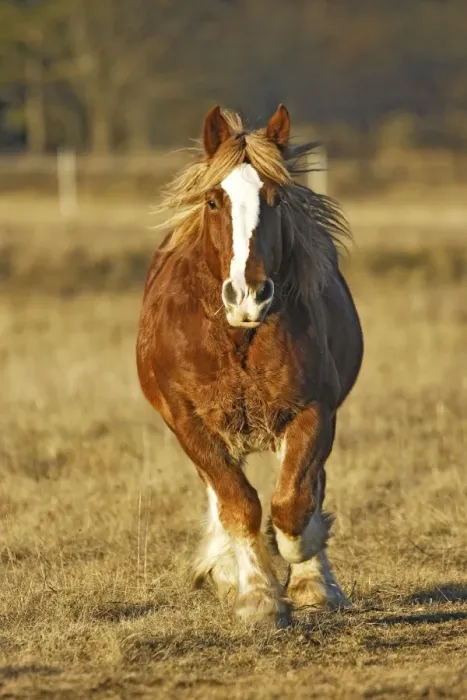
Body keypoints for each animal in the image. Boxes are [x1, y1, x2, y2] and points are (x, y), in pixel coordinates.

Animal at [136, 104, 363, 628]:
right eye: (213, 202)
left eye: (276, 199)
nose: (248, 295)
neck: (237, 336)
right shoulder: (190, 421)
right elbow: (237, 503)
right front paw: (256, 596)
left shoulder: (314, 412)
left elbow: (295, 502)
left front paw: (306, 569)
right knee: (221, 495)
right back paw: (224, 569)